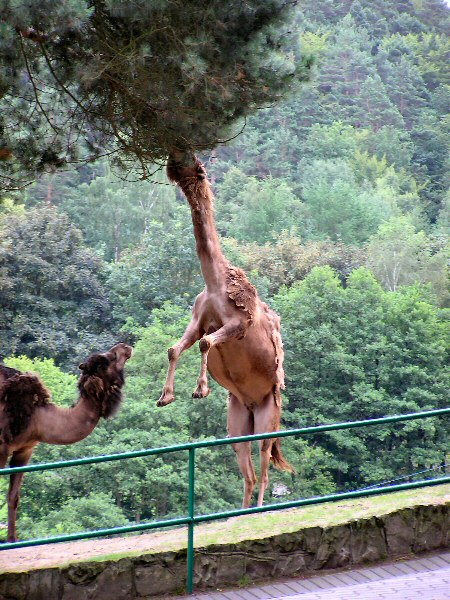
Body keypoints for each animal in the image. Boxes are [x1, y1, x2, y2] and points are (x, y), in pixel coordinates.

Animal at [0, 342, 133, 544]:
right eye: (107, 359)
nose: (125, 347)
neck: (37, 417)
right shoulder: (1, 447)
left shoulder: (24, 450)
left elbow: (13, 497)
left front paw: (12, 541)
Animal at [158, 154, 296, 506]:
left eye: (194, 164)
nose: (171, 162)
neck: (216, 282)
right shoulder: (197, 319)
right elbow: (175, 348)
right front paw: (166, 396)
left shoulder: (238, 324)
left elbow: (206, 343)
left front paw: (200, 389)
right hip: (237, 422)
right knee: (247, 471)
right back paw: (238, 511)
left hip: (268, 416)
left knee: (264, 467)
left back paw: (258, 510)